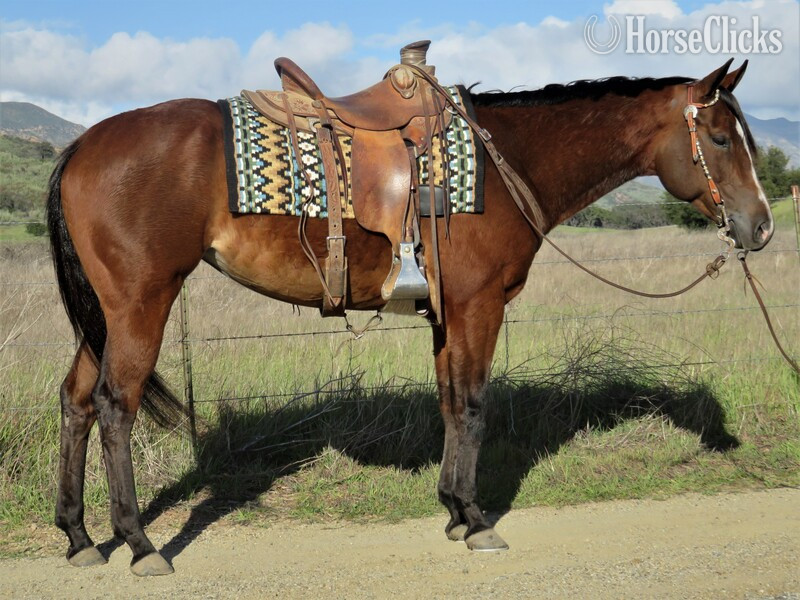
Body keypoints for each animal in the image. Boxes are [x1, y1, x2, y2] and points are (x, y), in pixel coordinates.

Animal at [47, 58, 773, 576]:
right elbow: (474, 404)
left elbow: (450, 402)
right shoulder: (480, 306)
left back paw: (80, 536)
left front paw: (452, 511)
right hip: (141, 302)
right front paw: (477, 520)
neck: (509, 163)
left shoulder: (448, 315)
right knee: (115, 406)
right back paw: (140, 544)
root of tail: (83, 145)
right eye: (718, 137)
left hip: (106, 316)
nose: (761, 227)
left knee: (76, 401)